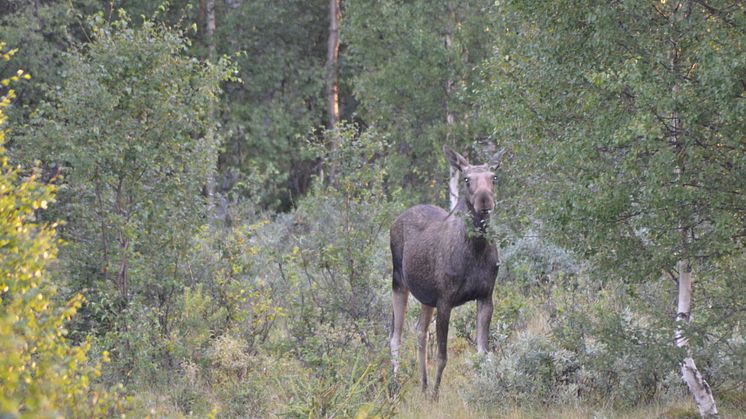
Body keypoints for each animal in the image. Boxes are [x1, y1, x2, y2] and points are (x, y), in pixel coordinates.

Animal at [386, 146, 502, 398]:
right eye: (467, 179)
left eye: (494, 177)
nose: (485, 200)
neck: (476, 250)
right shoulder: (445, 300)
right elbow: (442, 356)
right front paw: (435, 396)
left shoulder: (486, 297)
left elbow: (483, 353)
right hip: (398, 281)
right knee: (395, 337)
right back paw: (395, 386)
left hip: (425, 297)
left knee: (420, 332)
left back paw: (423, 383)